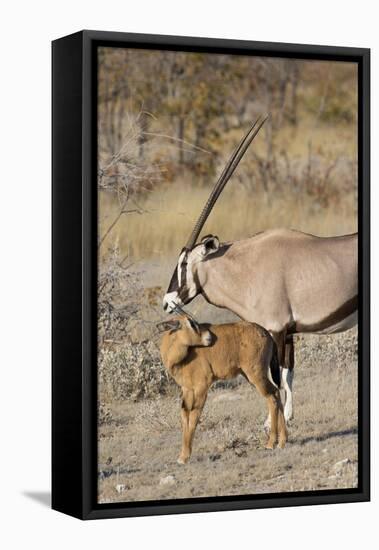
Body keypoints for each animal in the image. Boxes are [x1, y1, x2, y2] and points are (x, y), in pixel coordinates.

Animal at [160, 314, 288, 466]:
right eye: (190, 323)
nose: (209, 337)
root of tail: (266, 334)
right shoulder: (187, 390)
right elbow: (185, 416)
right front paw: (182, 456)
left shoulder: (202, 387)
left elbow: (194, 416)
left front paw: (185, 457)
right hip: (250, 376)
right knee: (276, 392)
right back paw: (282, 442)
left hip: (255, 375)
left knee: (272, 397)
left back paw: (270, 443)